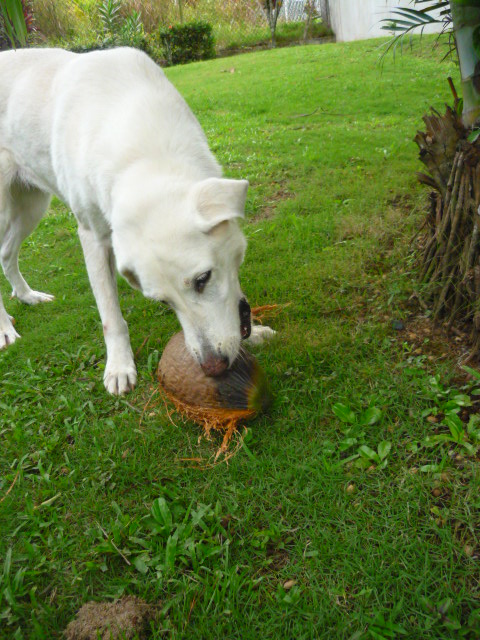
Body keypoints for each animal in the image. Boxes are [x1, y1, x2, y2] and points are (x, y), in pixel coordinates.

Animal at [0, 47, 270, 392]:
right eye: (164, 302)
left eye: (203, 279)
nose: (213, 367)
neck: (143, 152)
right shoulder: (93, 238)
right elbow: (110, 317)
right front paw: (119, 367)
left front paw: (255, 333)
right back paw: (4, 329)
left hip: (32, 205)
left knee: (6, 253)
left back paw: (27, 296)